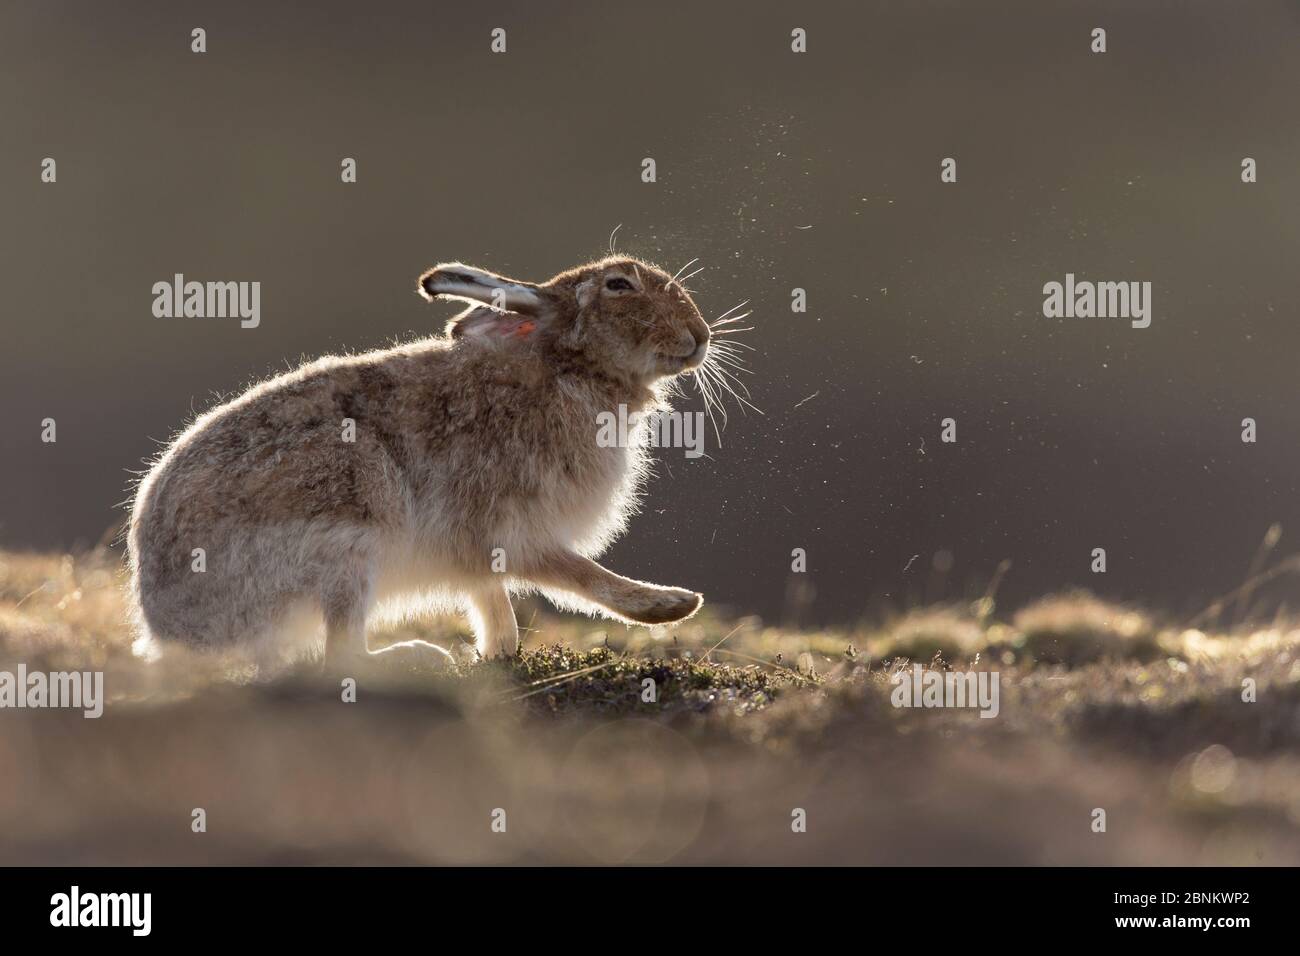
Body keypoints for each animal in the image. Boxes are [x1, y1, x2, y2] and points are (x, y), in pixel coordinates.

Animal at [127, 256, 712, 670]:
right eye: (619, 285)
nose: (701, 335)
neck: (565, 366)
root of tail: (172, 624)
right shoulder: (512, 529)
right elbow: (581, 575)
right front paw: (670, 604)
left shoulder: (476, 551)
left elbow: (491, 601)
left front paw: (498, 655)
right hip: (351, 525)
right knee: (341, 656)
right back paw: (417, 657)